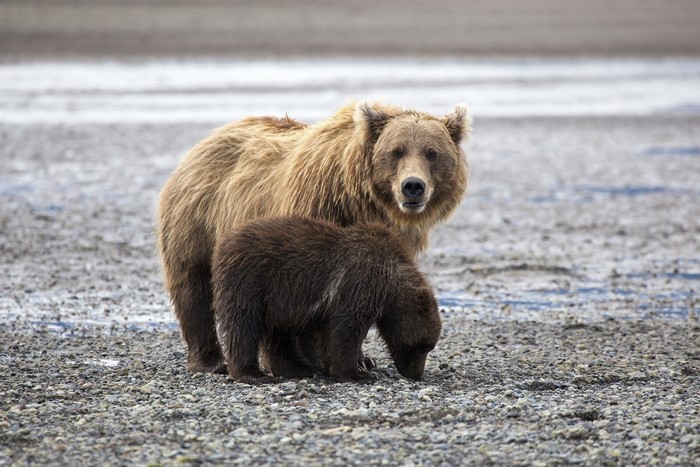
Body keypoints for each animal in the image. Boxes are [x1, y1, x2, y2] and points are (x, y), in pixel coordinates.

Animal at [211, 216, 442, 384]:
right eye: (422, 345)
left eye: (429, 346)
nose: (417, 374)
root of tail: (223, 243)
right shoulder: (358, 285)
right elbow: (345, 332)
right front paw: (358, 374)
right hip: (251, 281)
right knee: (243, 326)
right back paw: (253, 374)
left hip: (274, 302)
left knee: (277, 336)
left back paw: (301, 368)